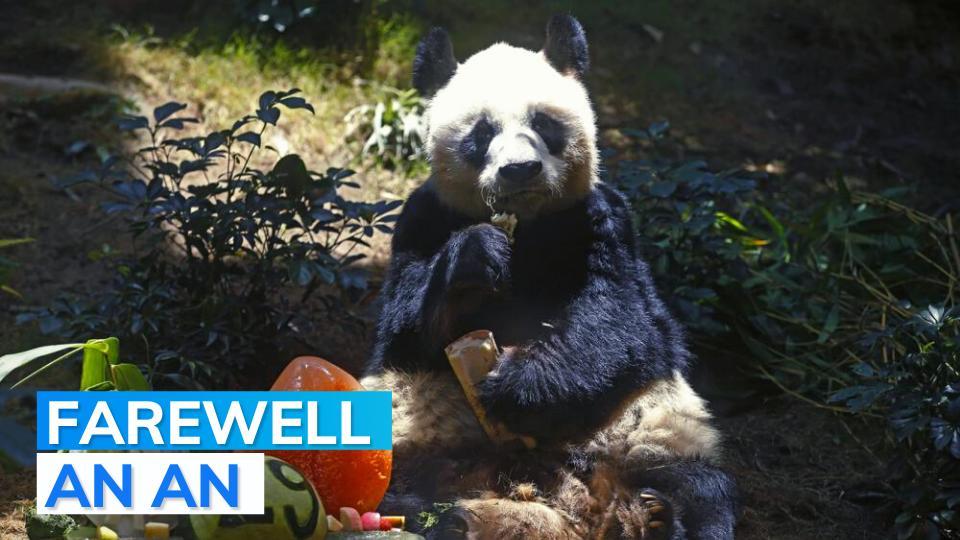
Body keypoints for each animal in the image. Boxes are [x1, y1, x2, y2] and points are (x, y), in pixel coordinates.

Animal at [360, 15, 738, 539]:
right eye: (482, 133)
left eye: (543, 124)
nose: (520, 169)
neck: (529, 225)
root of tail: (569, 505)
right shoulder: (421, 219)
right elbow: (406, 326)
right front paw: (475, 258)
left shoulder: (601, 221)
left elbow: (621, 324)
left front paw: (515, 383)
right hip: (409, 429)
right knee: (394, 483)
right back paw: (450, 516)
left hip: (656, 429)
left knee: (701, 490)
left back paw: (657, 516)